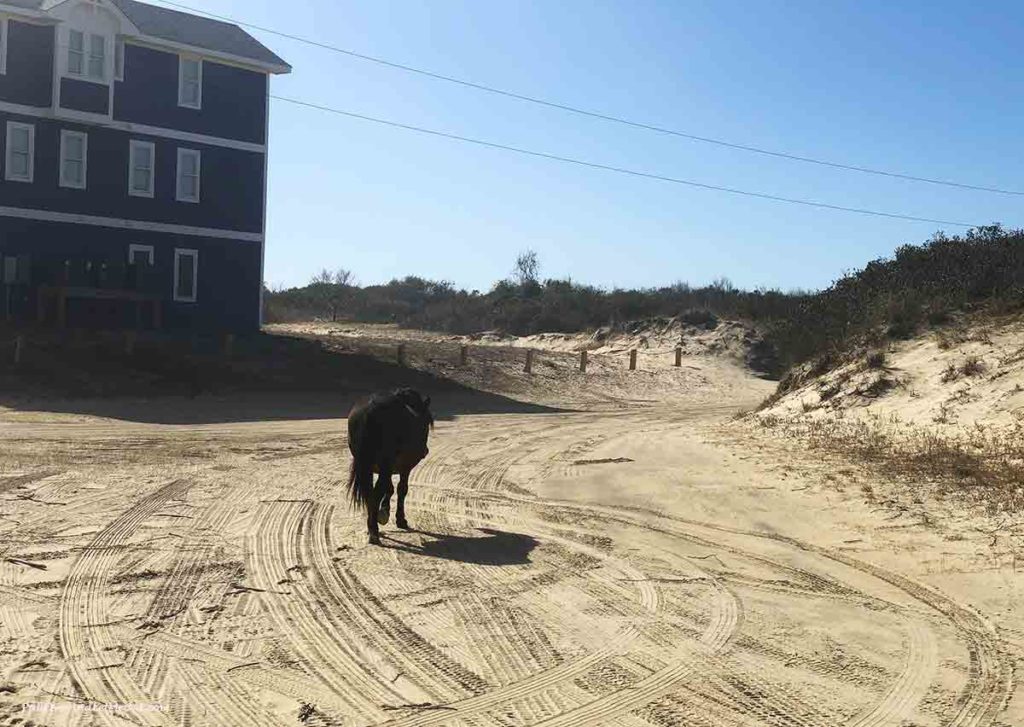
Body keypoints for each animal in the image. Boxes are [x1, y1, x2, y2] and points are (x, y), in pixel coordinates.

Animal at [348, 391, 432, 544]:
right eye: (428, 421)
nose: (425, 451)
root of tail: (369, 412)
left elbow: (389, 488)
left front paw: (383, 512)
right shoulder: (404, 468)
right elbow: (401, 489)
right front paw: (399, 519)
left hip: (367, 468)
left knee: (370, 493)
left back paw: (372, 525)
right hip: (385, 466)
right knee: (376, 493)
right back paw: (374, 531)